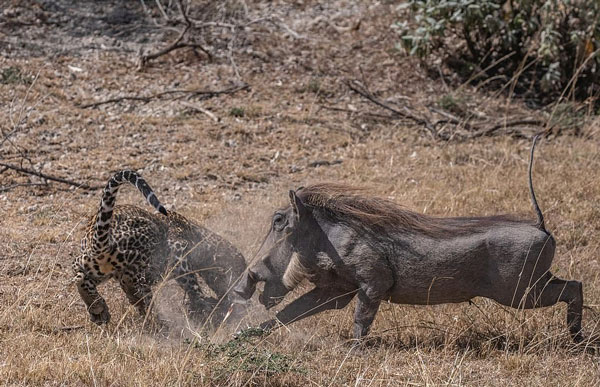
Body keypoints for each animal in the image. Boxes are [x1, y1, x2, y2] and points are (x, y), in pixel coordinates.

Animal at [72, 171, 246, 326]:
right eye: (237, 270)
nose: (241, 293)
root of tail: (95, 236)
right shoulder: (178, 251)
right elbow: (191, 284)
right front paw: (204, 306)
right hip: (143, 240)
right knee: (128, 278)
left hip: (96, 265)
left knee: (79, 274)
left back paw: (99, 308)